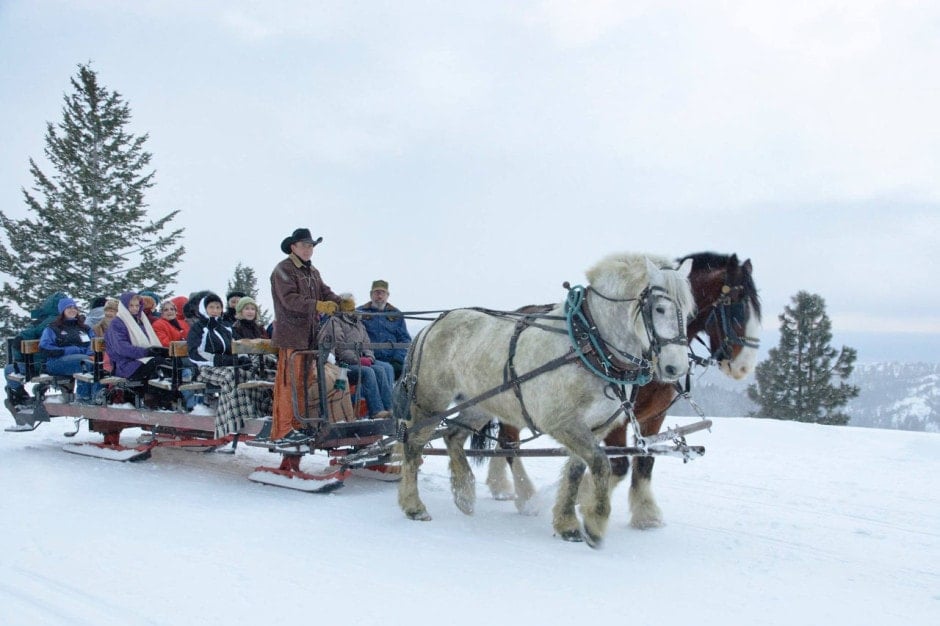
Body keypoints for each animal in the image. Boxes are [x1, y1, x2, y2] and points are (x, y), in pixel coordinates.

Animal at [392, 251, 692, 544]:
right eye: (660, 308)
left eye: (688, 313)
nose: (676, 368)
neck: (587, 345)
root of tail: (432, 325)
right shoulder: (562, 422)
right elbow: (600, 463)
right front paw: (595, 522)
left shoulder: (596, 426)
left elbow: (576, 469)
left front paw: (567, 524)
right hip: (431, 402)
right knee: (413, 443)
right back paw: (414, 506)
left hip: (480, 403)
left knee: (453, 436)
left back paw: (464, 493)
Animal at [482, 250, 760, 532]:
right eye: (737, 308)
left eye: (689, 309)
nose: (744, 367)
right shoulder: (618, 417)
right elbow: (619, 463)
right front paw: (586, 498)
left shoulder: (653, 417)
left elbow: (644, 460)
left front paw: (646, 515)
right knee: (510, 443)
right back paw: (526, 497)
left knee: (504, 440)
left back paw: (501, 487)